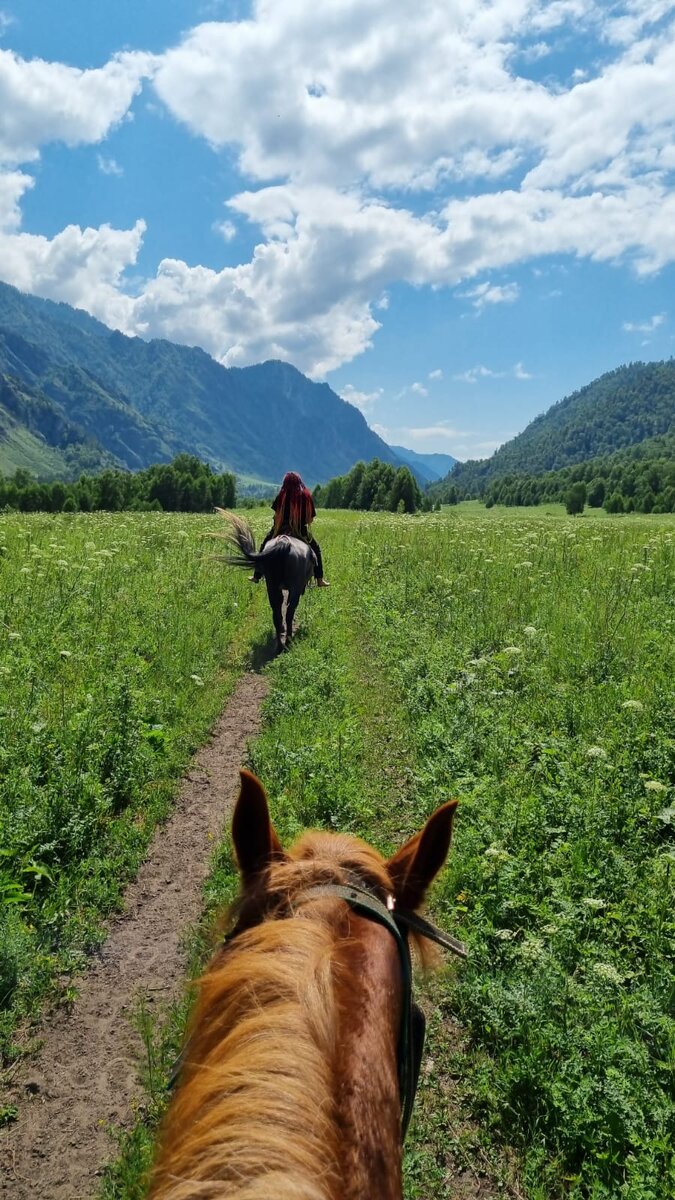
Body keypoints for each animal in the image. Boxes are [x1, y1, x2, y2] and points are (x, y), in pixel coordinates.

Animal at [210, 508, 314, 652]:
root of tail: (285, 543)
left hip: (272, 586)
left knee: (277, 613)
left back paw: (279, 643)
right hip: (294, 589)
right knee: (289, 613)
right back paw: (288, 641)